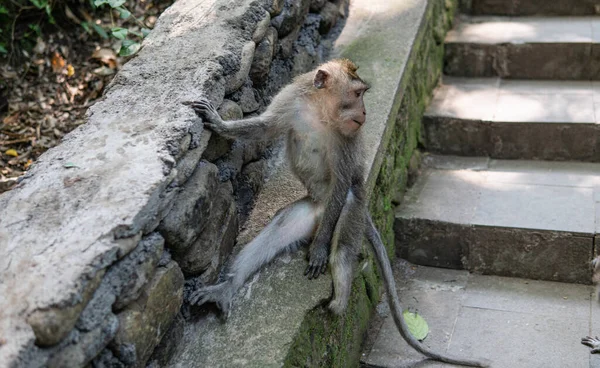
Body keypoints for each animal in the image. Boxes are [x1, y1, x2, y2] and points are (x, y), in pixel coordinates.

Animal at [185, 59, 490, 366]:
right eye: (357, 94)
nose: (365, 112)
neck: (319, 109)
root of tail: (322, 210)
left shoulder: (347, 138)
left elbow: (342, 183)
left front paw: (320, 249)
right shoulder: (290, 99)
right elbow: (263, 128)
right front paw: (219, 123)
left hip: (351, 211)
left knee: (343, 242)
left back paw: (339, 302)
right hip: (309, 212)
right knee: (272, 235)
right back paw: (225, 289)